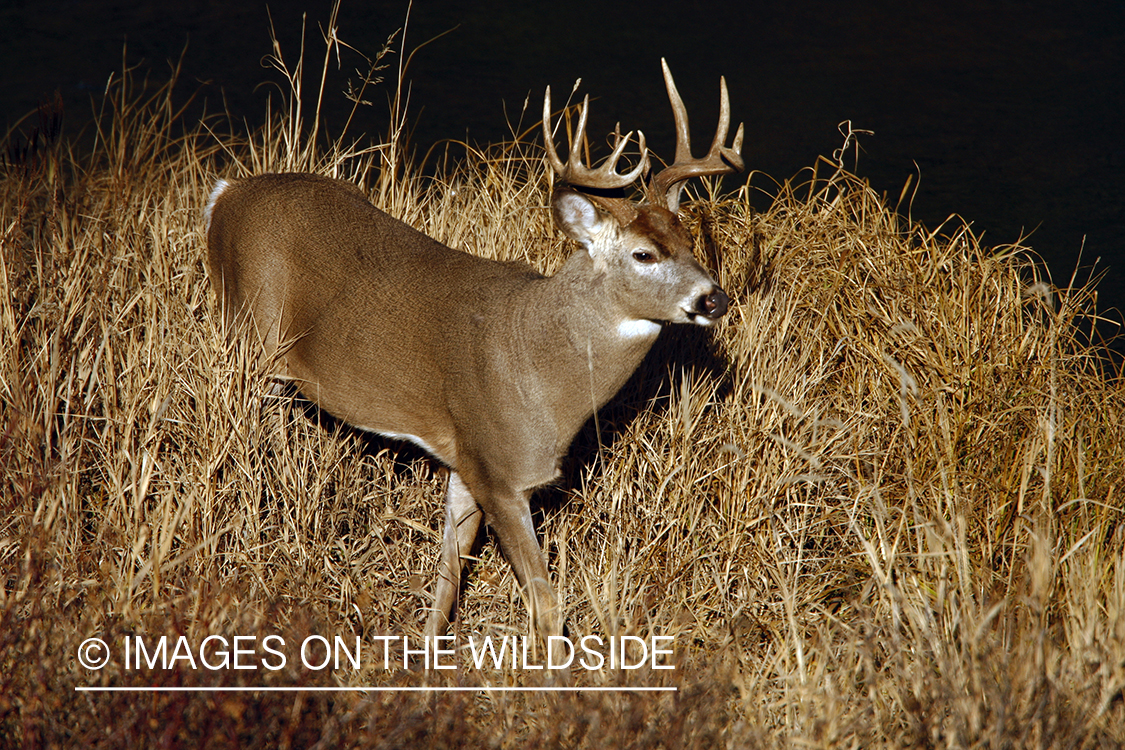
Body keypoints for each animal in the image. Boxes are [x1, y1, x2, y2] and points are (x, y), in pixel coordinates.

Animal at [205, 58, 742, 643]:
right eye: (643, 254)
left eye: (689, 242)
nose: (714, 298)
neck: (540, 367)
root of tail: (224, 196)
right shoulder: (498, 469)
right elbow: (545, 601)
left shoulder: (463, 461)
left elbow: (447, 578)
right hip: (250, 337)